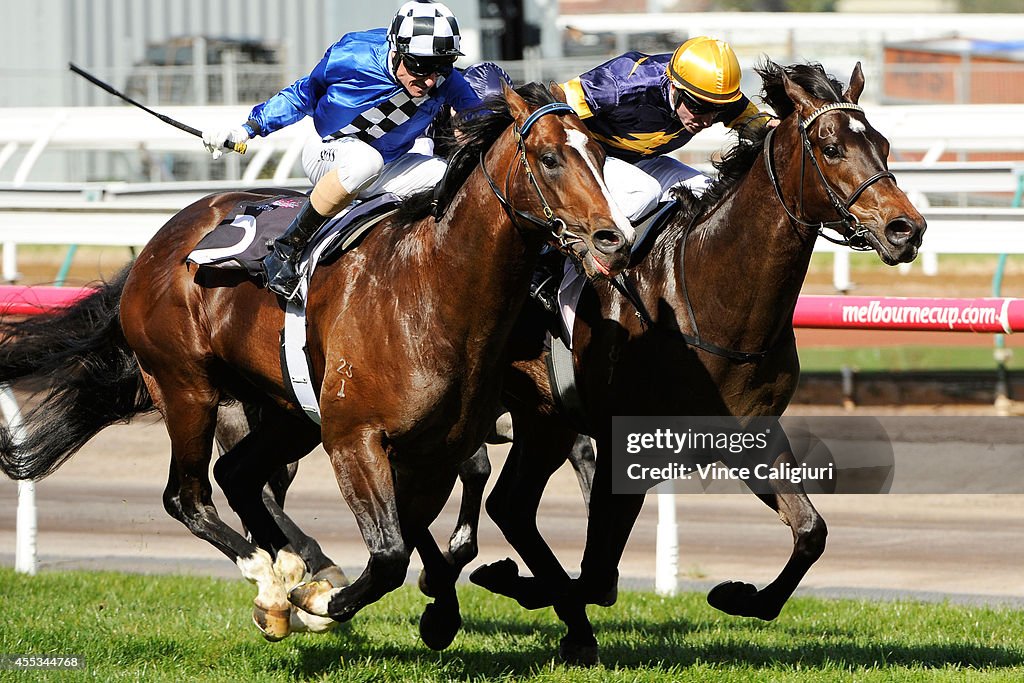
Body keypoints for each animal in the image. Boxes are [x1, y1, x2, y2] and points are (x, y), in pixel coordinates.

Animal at [0, 85, 630, 647]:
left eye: (603, 156)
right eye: (550, 158)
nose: (613, 239)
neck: (430, 289)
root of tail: (159, 243)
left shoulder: (438, 447)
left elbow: (413, 537)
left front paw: (429, 608)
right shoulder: (355, 438)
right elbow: (390, 553)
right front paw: (322, 604)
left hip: (285, 412)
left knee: (239, 476)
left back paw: (287, 575)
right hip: (187, 388)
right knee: (188, 496)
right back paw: (271, 579)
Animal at [468, 61, 933, 663]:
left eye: (882, 143)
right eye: (831, 148)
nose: (908, 229)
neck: (713, 297)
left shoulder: (751, 434)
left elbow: (811, 530)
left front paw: (740, 596)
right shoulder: (626, 447)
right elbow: (599, 572)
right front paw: (528, 591)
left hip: (544, 420)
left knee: (512, 506)